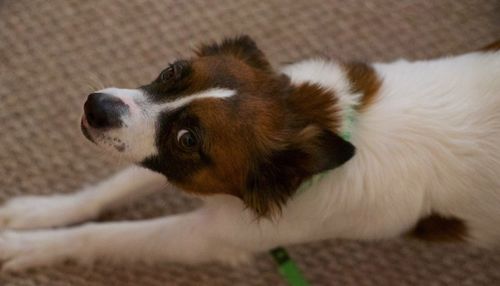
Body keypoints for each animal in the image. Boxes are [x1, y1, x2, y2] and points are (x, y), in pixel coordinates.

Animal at [0, 36, 500, 272]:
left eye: (189, 139)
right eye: (172, 71)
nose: (95, 107)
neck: (321, 121)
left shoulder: (210, 236)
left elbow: (101, 237)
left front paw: (24, 246)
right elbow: (110, 189)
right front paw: (38, 213)